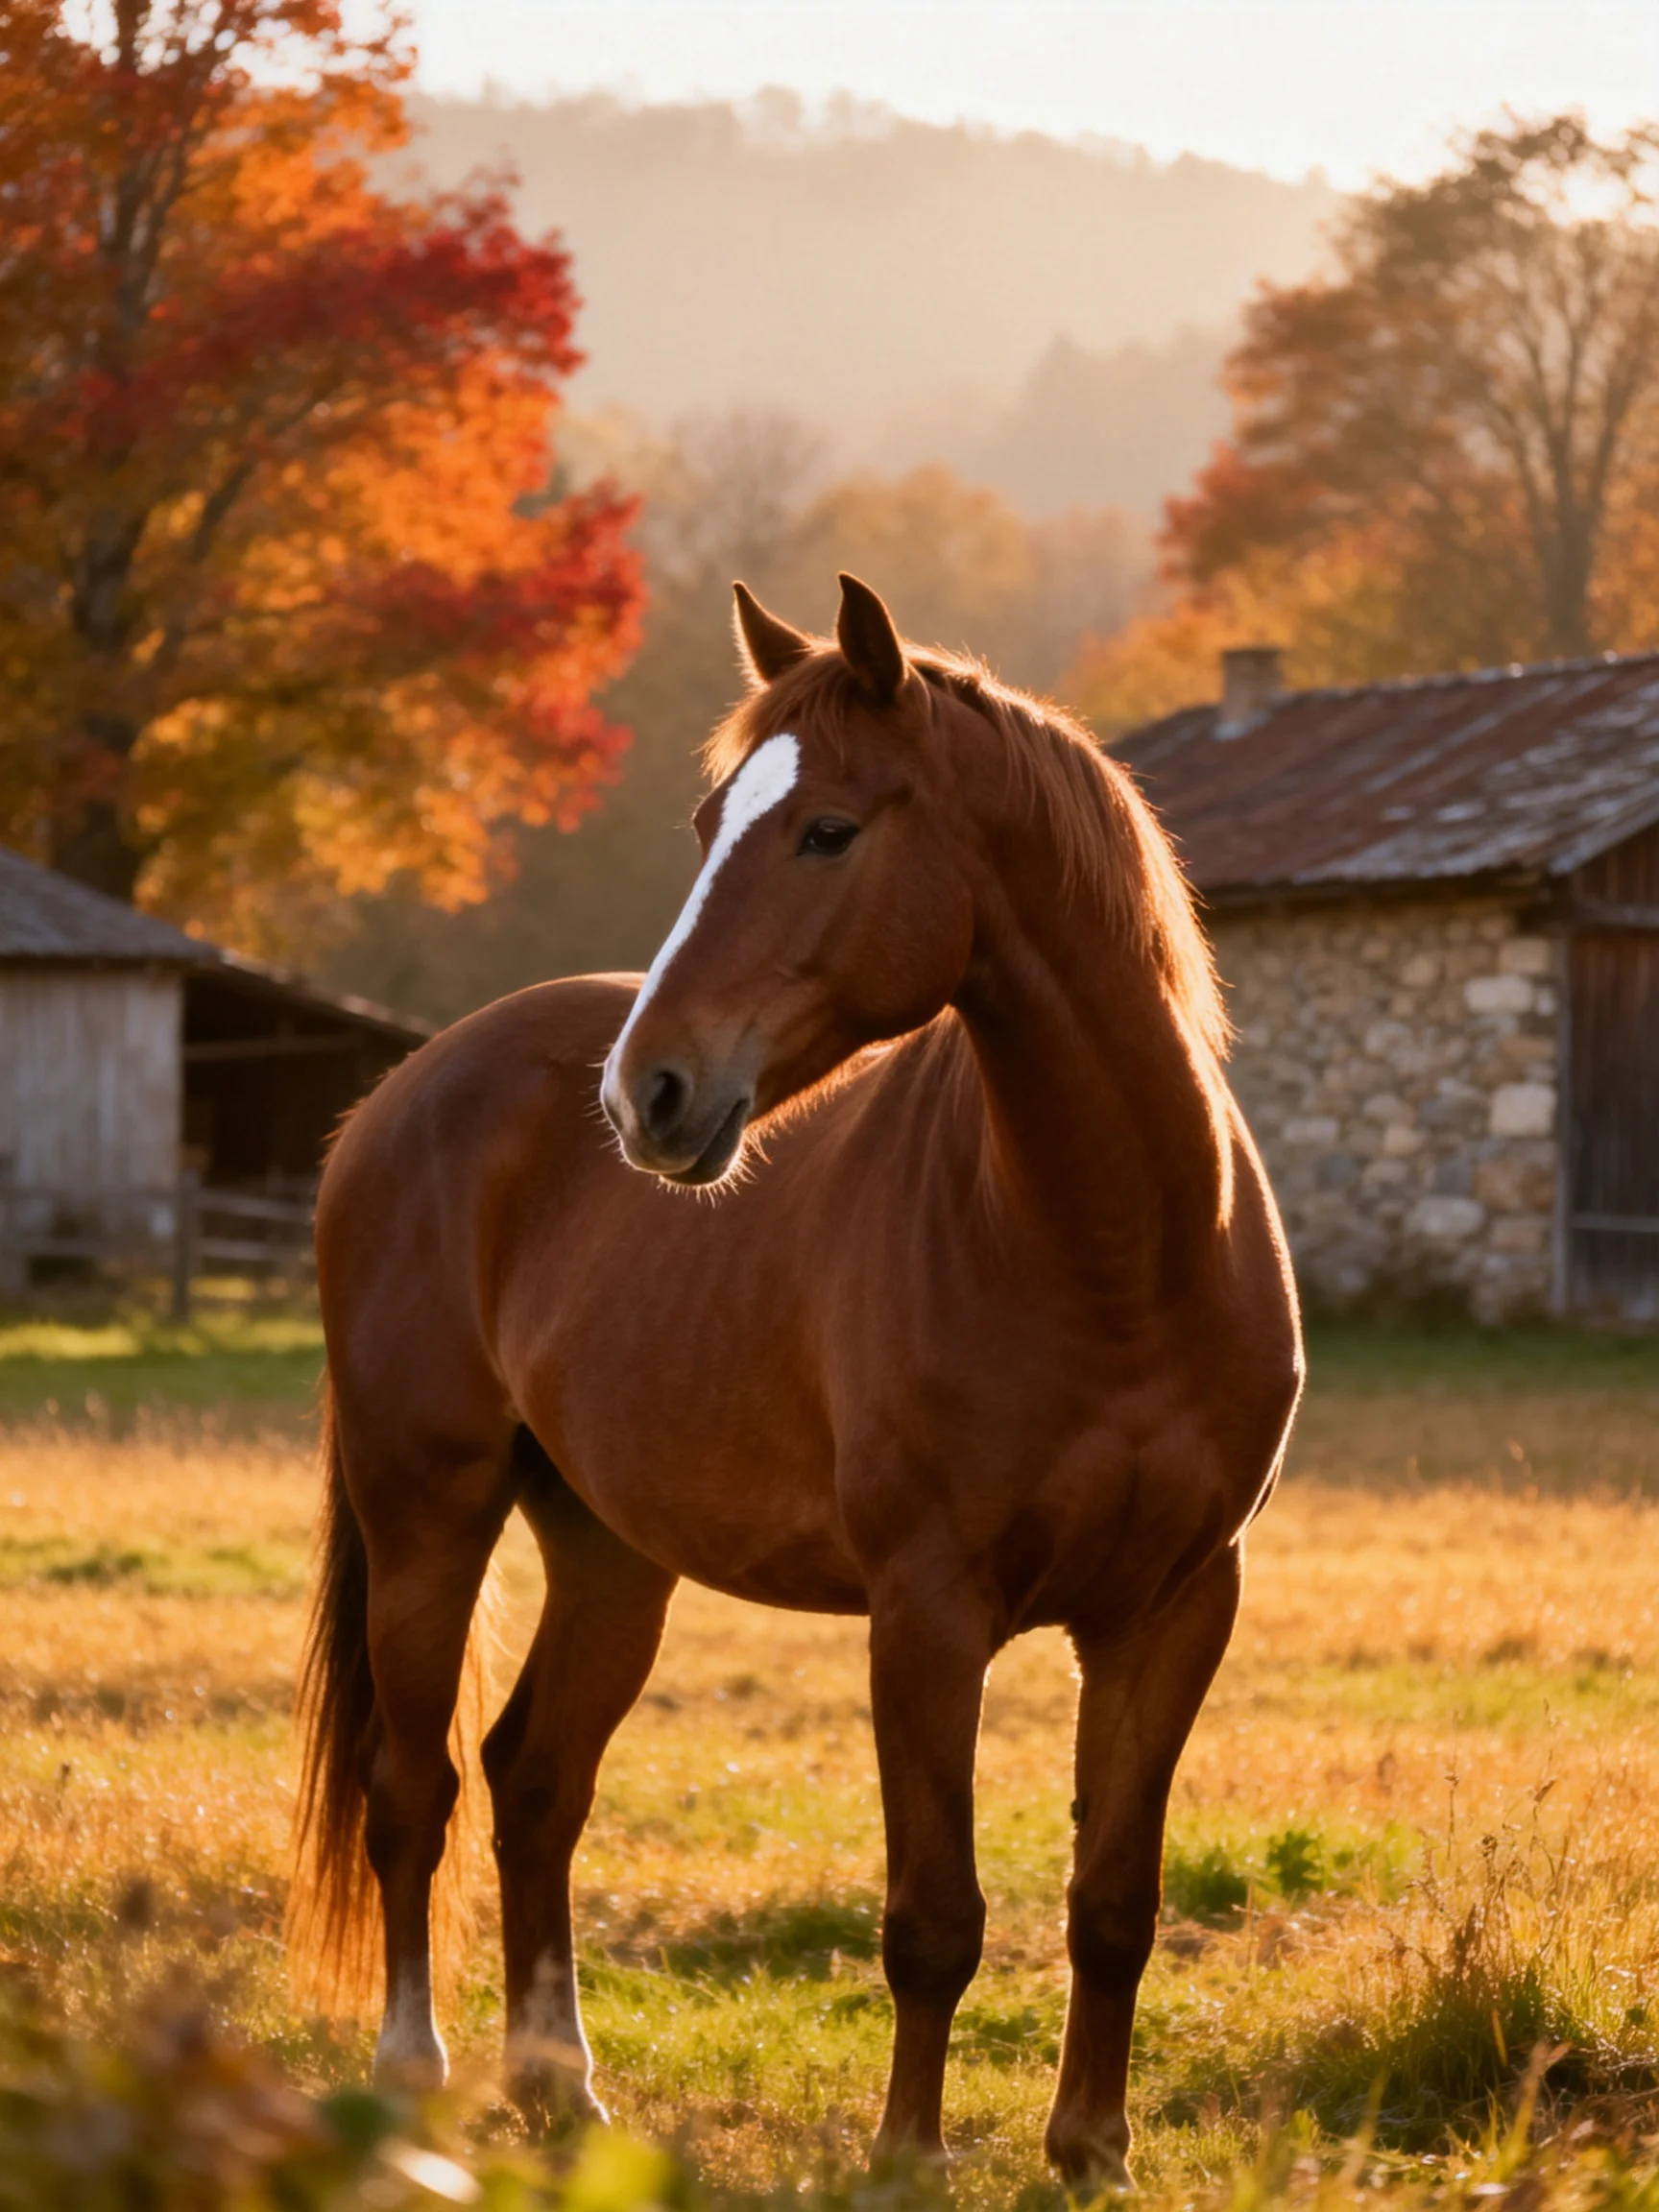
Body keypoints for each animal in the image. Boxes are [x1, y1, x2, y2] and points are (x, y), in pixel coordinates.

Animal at [294, 572, 1303, 2186]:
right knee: (414, 1793)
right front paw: (905, 2160)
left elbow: (1113, 1905)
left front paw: (1092, 2151)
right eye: (714, 821)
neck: (1115, 1253)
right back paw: (415, 2079)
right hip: (425, 1516)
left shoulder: (1176, 1607)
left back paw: (557, 2086)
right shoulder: (927, 1611)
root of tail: (400, 1095)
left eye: (827, 829)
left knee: (534, 1784)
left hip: (610, 1554)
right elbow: (934, 1918)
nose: (647, 1091)